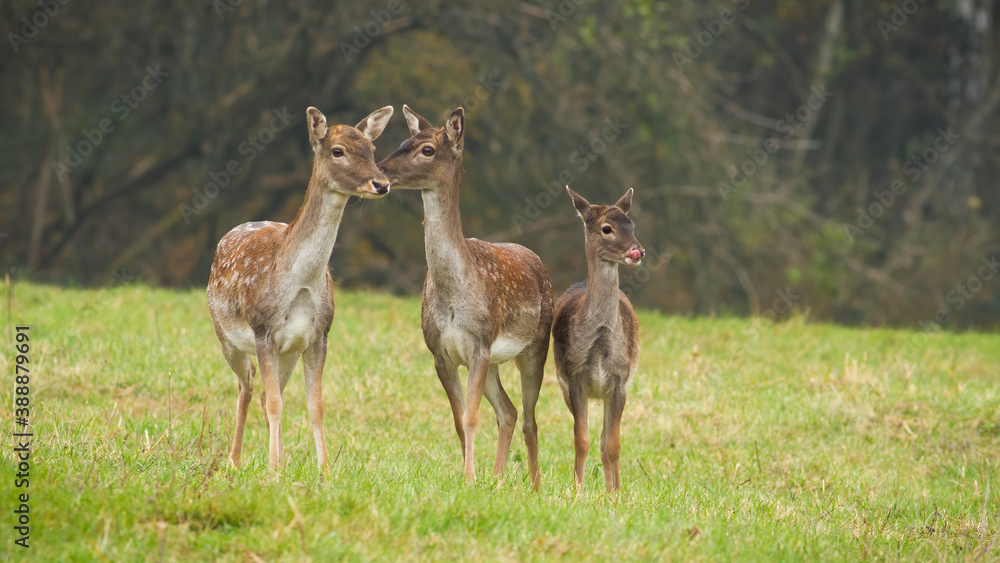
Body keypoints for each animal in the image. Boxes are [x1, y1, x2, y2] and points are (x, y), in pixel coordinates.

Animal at [207, 104, 394, 472]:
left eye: (372, 148)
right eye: (338, 151)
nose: (381, 183)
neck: (302, 284)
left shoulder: (318, 335)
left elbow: (314, 406)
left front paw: (324, 470)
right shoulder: (263, 330)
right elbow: (275, 404)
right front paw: (271, 470)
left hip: (288, 351)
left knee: (266, 391)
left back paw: (279, 458)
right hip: (225, 335)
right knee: (247, 386)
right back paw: (235, 460)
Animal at [378, 104, 556, 490]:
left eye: (427, 149)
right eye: (402, 141)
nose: (380, 172)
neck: (454, 295)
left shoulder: (479, 343)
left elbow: (472, 417)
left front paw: (470, 478)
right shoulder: (440, 352)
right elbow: (460, 419)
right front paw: (468, 478)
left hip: (534, 346)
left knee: (529, 417)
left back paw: (535, 485)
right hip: (493, 361)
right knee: (508, 411)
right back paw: (499, 479)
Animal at [552, 186, 644, 494]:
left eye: (632, 224)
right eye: (607, 228)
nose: (638, 251)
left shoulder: (620, 381)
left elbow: (612, 445)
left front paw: (616, 493)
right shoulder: (574, 378)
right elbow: (581, 440)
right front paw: (578, 490)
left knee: (606, 441)